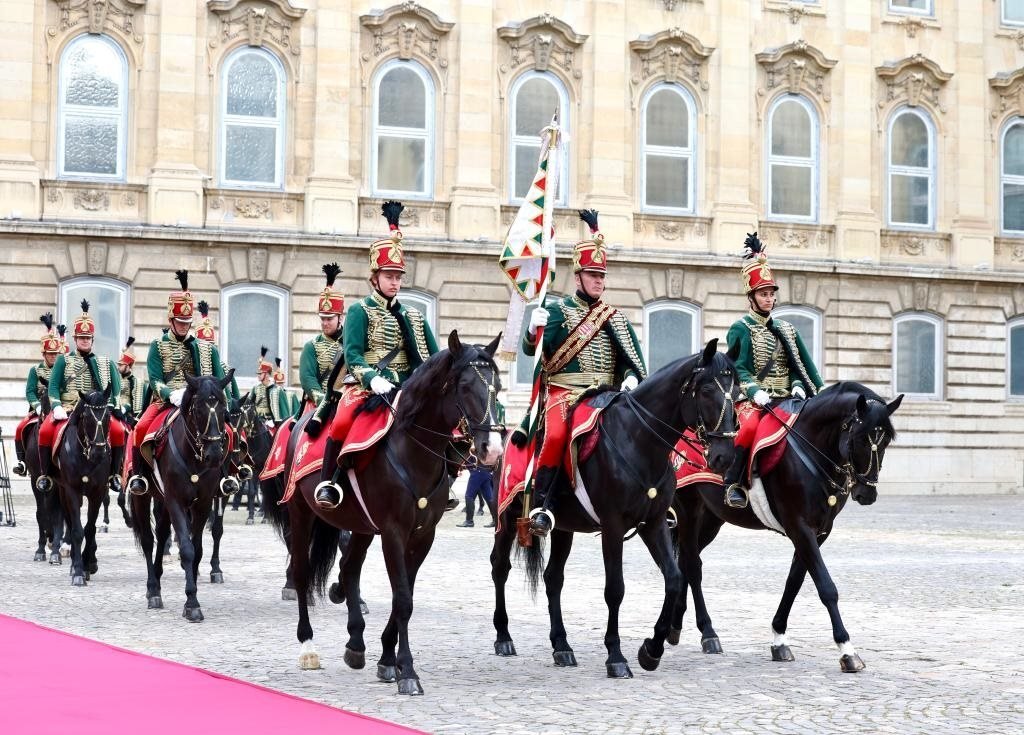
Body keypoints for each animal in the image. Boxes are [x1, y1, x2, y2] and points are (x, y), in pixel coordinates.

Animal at [53, 386, 114, 586]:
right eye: (87, 417)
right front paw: (78, 571)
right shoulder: (71, 491)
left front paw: (88, 565)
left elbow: (90, 528)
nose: (99, 452)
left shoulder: (97, 492)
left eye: (108, 416)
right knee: (70, 522)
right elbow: (77, 530)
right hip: (63, 491)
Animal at [130, 371, 235, 621]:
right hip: (143, 497)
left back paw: (158, 583)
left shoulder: (203, 503)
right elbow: (186, 549)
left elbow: (197, 549)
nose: (214, 455)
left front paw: (191, 595)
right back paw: (152, 590)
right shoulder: (176, 501)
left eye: (223, 407)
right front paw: (192, 602)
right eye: (197, 410)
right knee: (148, 540)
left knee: (161, 534)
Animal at [266, 331, 503, 696]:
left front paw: (388, 659)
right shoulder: (393, 532)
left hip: (361, 525)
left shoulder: (422, 535)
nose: (493, 449)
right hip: (301, 513)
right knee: (303, 572)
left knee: (349, 569)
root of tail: (300, 421)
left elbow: (404, 595)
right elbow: (403, 599)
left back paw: (355, 643)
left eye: (497, 386)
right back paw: (308, 646)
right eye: (465, 386)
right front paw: (408, 671)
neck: (413, 450)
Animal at [491, 339, 739, 678]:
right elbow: (615, 589)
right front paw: (616, 656)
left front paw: (651, 650)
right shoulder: (613, 526)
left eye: (737, 391)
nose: (724, 456)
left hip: (565, 528)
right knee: (500, 568)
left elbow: (674, 578)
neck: (640, 440)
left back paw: (562, 646)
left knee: (553, 578)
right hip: (506, 518)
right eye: (705, 390)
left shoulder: (654, 523)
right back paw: (504, 637)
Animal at [668, 382, 902, 672]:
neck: (811, 448)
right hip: (688, 509)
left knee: (686, 561)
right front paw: (847, 649)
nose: (867, 494)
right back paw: (708, 633)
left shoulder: (819, 532)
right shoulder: (800, 527)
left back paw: (675, 626)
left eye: (886, 441)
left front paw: (779, 638)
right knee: (692, 564)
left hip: (712, 519)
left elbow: (794, 581)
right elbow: (826, 587)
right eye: (859, 438)